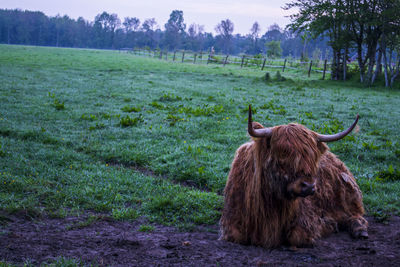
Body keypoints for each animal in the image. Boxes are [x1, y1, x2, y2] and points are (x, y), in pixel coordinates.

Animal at [220, 106, 368, 249]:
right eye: (283, 155)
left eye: (312, 157)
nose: (308, 186)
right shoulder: (231, 222)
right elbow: (236, 235)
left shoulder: (305, 219)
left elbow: (297, 237)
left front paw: (327, 225)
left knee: (355, 214)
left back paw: (360, 230)